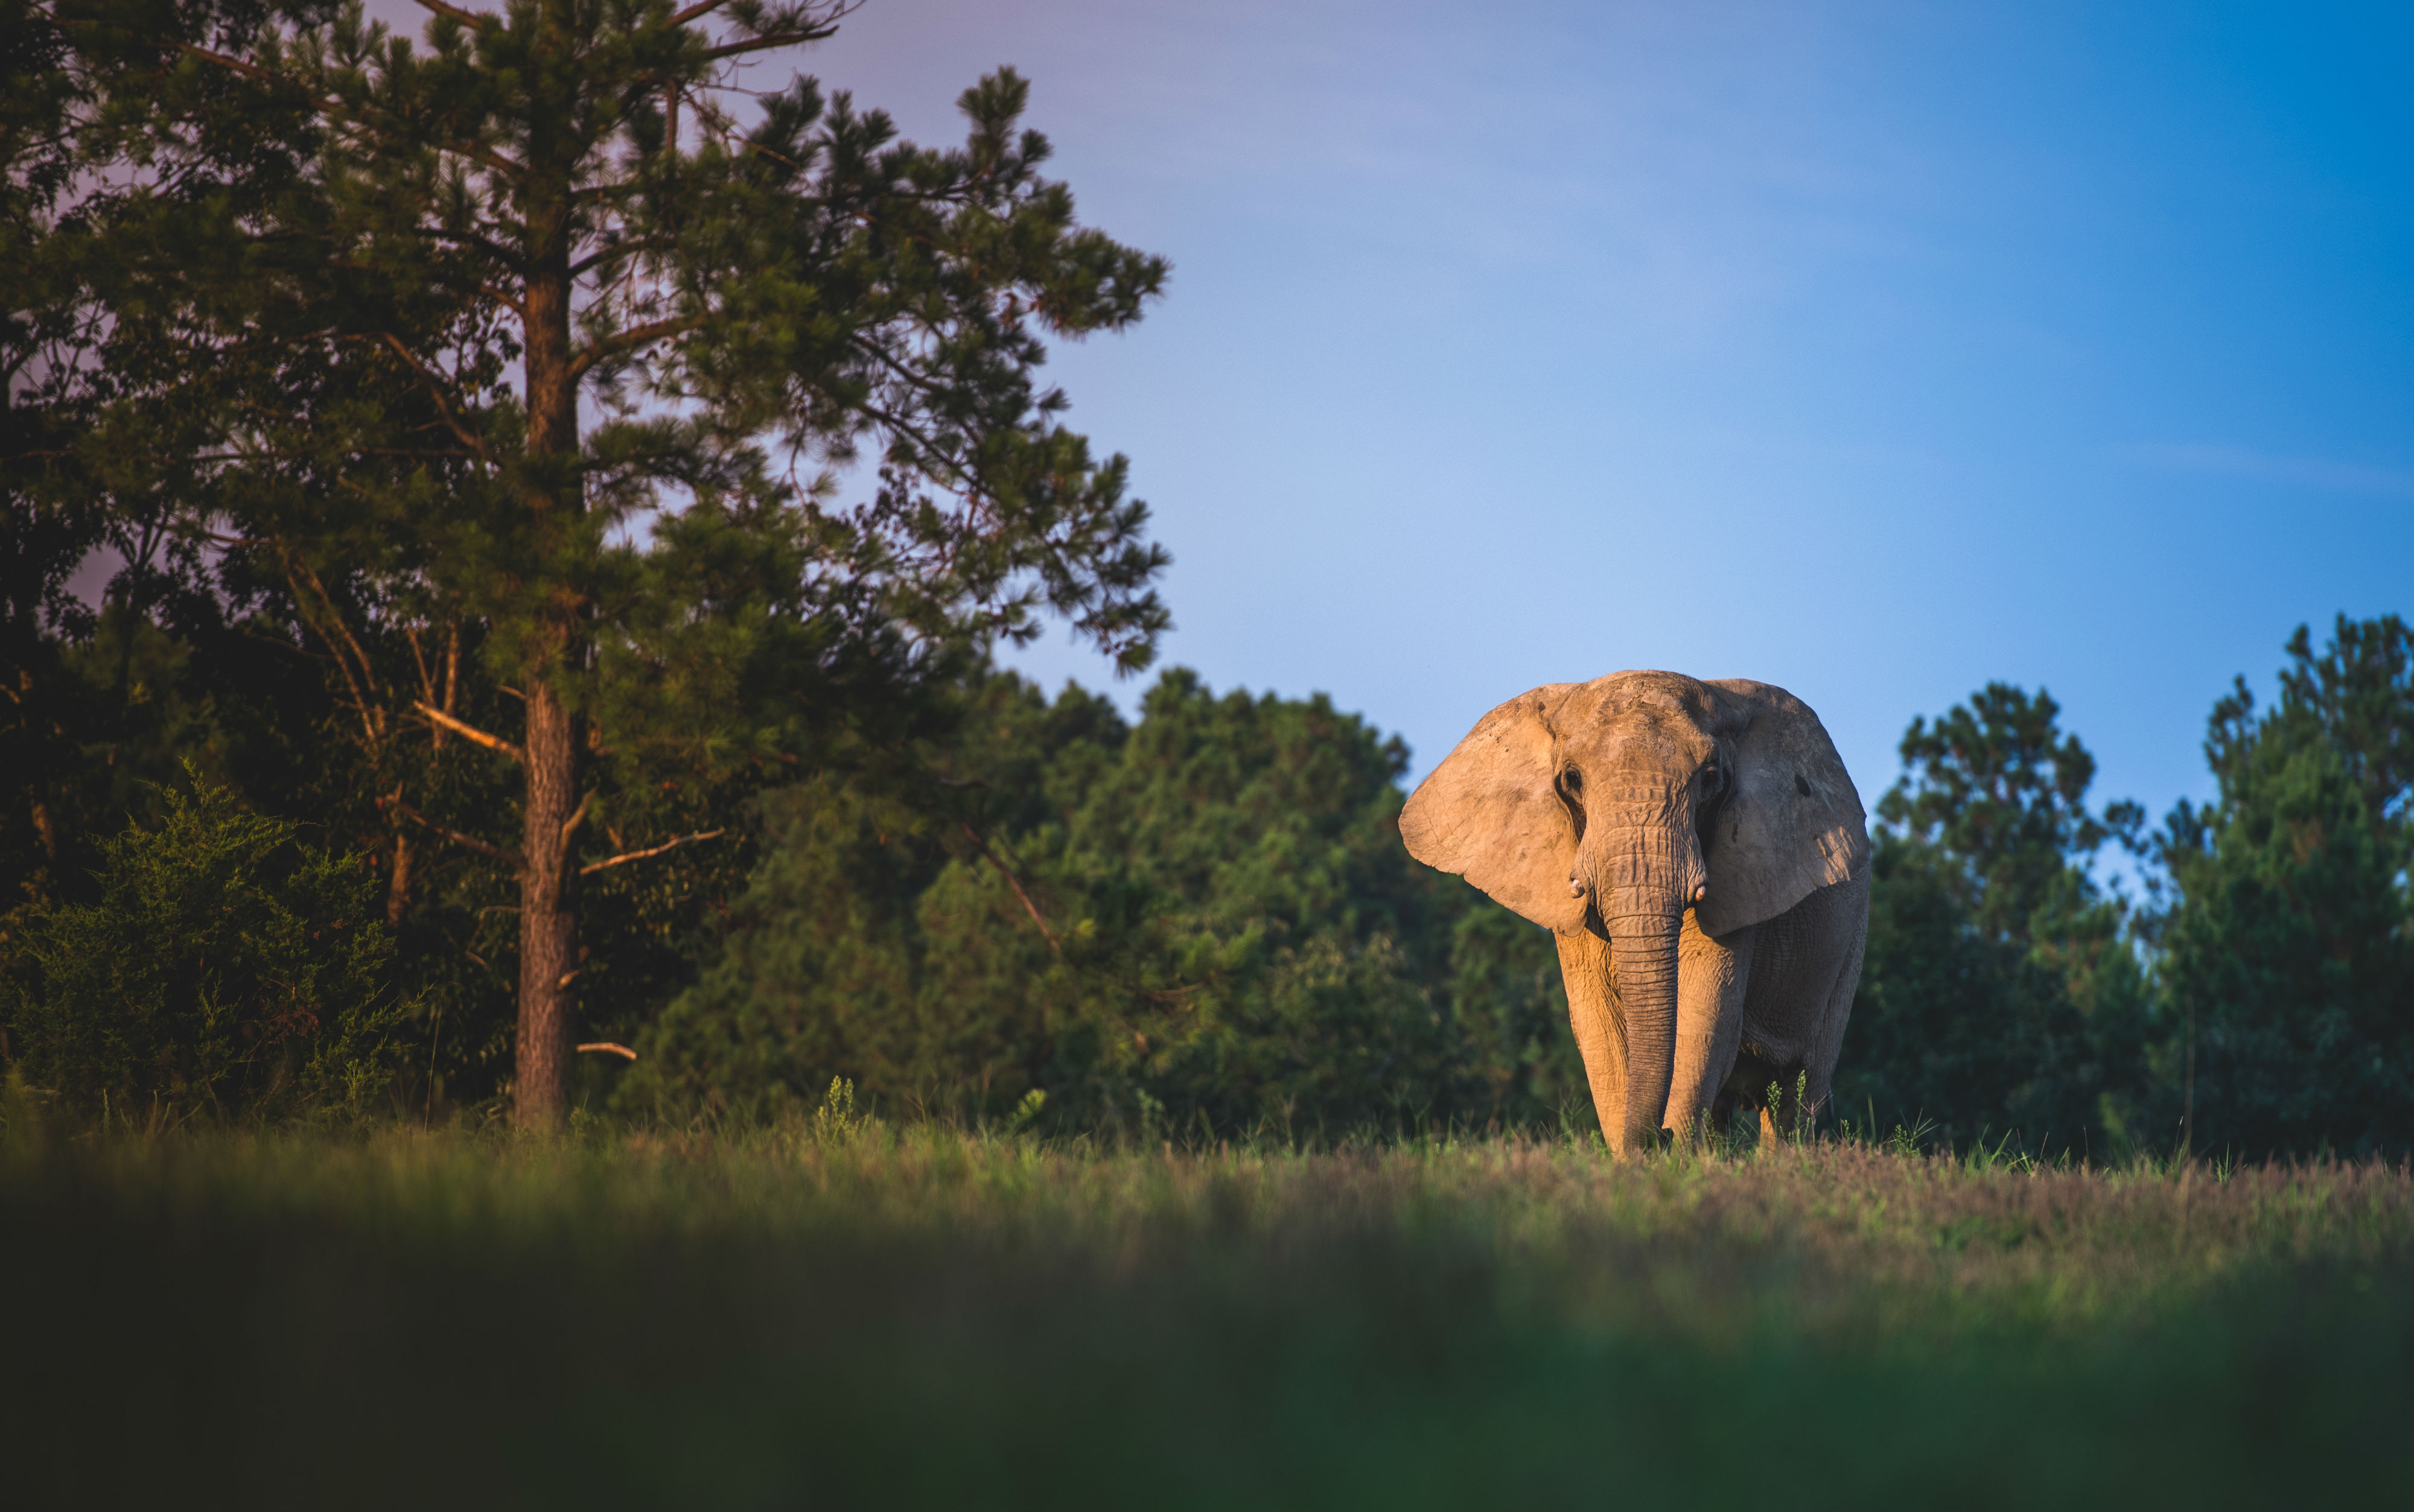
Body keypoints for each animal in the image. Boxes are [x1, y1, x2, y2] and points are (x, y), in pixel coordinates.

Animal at [1410, 666, 1873, 1149]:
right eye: (1572, 778)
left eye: (1711, 778)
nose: (1659, 1135)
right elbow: (1599, 1031)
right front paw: (1640, 1161)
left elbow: (1703, 1021)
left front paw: (1670, 1159)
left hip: (1851, 942)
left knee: (1800, 1095)